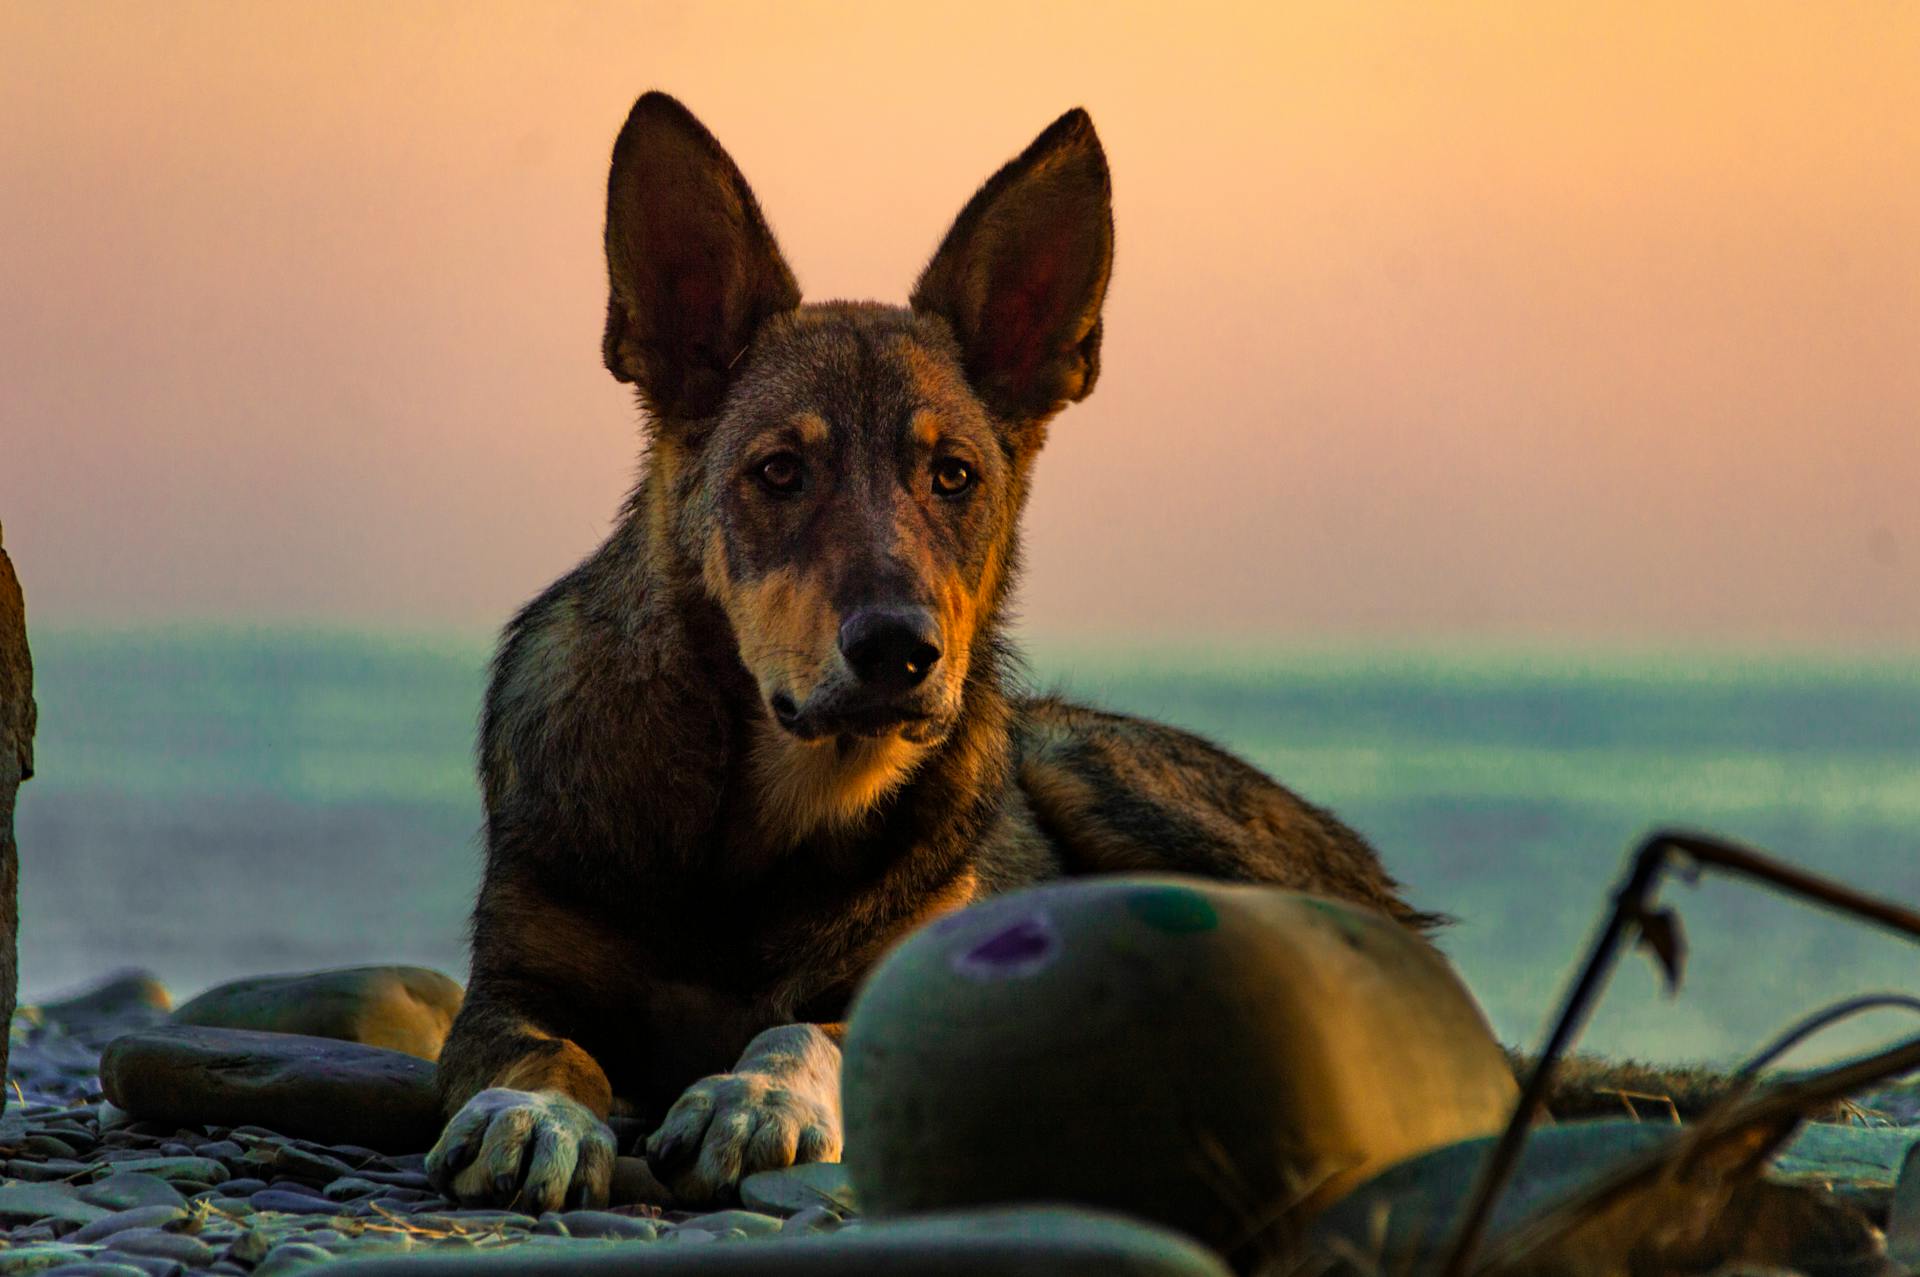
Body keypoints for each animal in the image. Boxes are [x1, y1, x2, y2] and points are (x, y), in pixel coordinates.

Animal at [424, 94, 1443, 1213]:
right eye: (778, 470)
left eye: (953, 474)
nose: (898, 650)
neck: (755, 826)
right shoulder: (513, 982)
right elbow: (547, 1049)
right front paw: (534, 1114)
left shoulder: (911, 975)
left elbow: (811, 1027)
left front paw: (753, 1094)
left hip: (1097, 771)